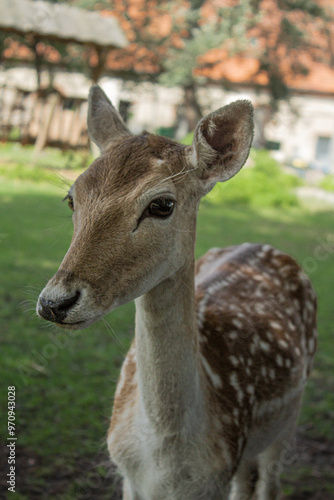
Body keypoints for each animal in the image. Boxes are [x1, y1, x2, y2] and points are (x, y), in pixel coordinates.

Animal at [37, 87, 318, 500]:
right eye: (71, 198)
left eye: (161, 204)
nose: (54, 302)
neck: (167, 465)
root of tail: (265, 244)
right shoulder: (128, 478)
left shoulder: (214, 481)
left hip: (289, 419)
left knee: (268, 481)